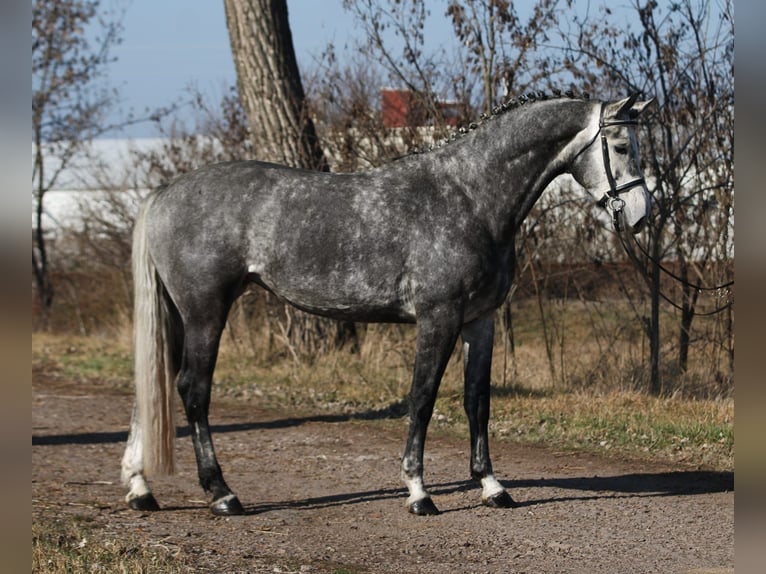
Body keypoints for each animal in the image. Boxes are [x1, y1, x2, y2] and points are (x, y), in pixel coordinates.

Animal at [121, 93, 656, 516]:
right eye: (621, 146)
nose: (640, 216)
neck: (469, 196)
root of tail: (164, 193)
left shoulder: (478, 321)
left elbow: (477, 401)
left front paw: (492, 487)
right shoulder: (437, 318)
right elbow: (422, 400)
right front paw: (419, 493)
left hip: (176, 313)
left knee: (153, 382)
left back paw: (140, 489)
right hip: (205, 311)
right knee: (193, 390)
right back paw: (222, 494)